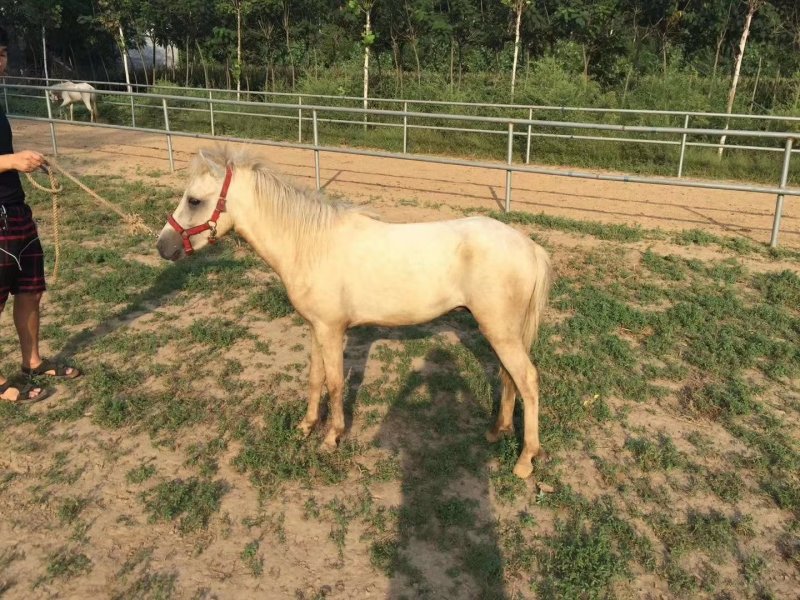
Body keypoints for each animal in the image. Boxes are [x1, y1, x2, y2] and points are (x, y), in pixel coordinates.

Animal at [156, 147, 552, 479]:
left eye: (194, 200)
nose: (163, 246)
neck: (310, 244)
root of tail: (528, 246)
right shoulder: (315, 327)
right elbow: (315, 377)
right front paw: (306, 426)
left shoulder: (332, 330)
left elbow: (334, 382)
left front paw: (332, 437)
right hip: (501, 332)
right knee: (508, 377)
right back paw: (497, 432)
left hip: (499, 331)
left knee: (527, 380)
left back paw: (525, 461)